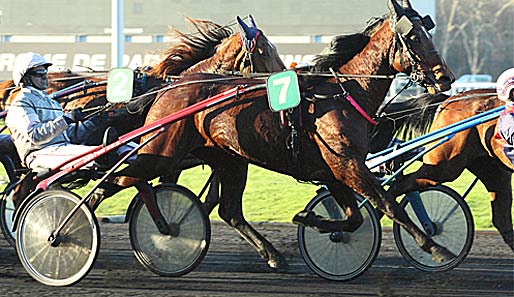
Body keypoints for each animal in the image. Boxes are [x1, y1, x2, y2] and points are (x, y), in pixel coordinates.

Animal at [111, 0, 452, 268]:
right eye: (414, 36)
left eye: (426, 32)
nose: (445, 77)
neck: (342, 94)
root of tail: (172, 87)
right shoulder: (347, 165)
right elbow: (389, 204)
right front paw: (436, 248)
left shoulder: (334, 170)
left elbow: (354, 217)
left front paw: (310, 220)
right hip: (161, 152)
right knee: (121, 178)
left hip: (229, 159)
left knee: (228, 210)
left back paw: (272, 254)